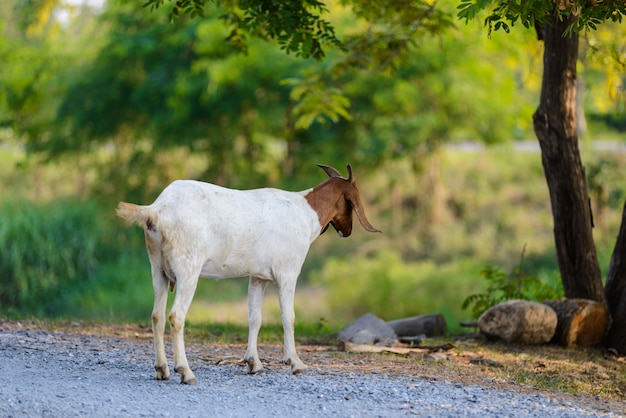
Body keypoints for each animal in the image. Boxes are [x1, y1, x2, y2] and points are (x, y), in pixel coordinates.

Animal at [116, 164, 380, 386]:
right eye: (350, 203)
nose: (347, 231)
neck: (305, 212)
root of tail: (157, 210)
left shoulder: (258, 277)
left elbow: (255, 318)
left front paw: (254, 364)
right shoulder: (287, 273)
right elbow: (289, 317)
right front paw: (296, 363)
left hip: (157, 269)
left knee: (157, 316)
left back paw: (162, 370)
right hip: (188, 268)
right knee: (175, 316)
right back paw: (185, 372)